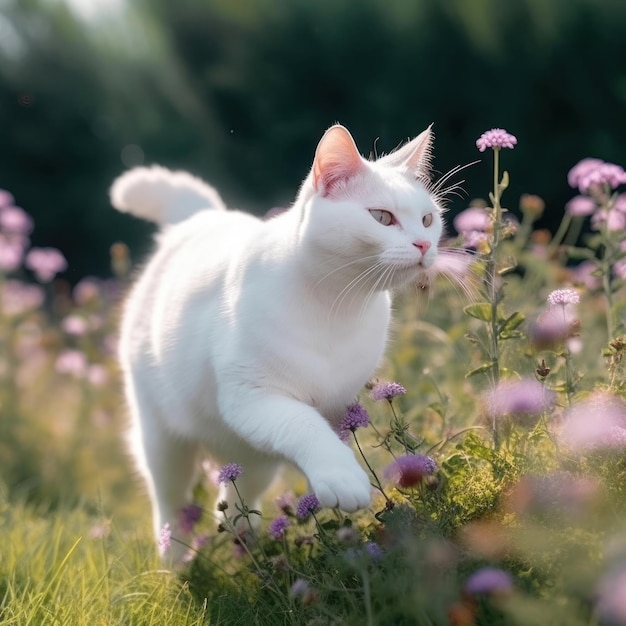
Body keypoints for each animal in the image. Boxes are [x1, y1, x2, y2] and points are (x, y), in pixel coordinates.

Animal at [112, 123, 444, 556]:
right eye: (382, 217)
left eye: (428, 219)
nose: (424, 244)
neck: (336, 308)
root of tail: (204, 217)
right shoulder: (252, 396)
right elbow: (305, 425)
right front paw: (343, 477)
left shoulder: (337, 403)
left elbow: (327, 429)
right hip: (164, 442)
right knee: (170, 506)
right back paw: (177, 559)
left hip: (251, 457)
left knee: (238, 493)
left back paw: (243, 540)